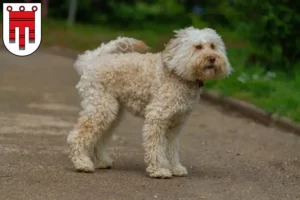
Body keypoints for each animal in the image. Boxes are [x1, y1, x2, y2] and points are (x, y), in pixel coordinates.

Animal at [67, 26, 232, 178]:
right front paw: (160, 170)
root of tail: (91, 61)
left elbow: (172, 148)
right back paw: (82, 163)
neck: (178, 73)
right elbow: (156, 146)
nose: (212, 58)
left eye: (212, 46)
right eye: (198, 47)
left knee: (99, 137)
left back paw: (101, 161)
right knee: (77, 136)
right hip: (101, 109)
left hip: (113, 114)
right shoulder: (157, 118)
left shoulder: (176, 124)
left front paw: (175, 168)